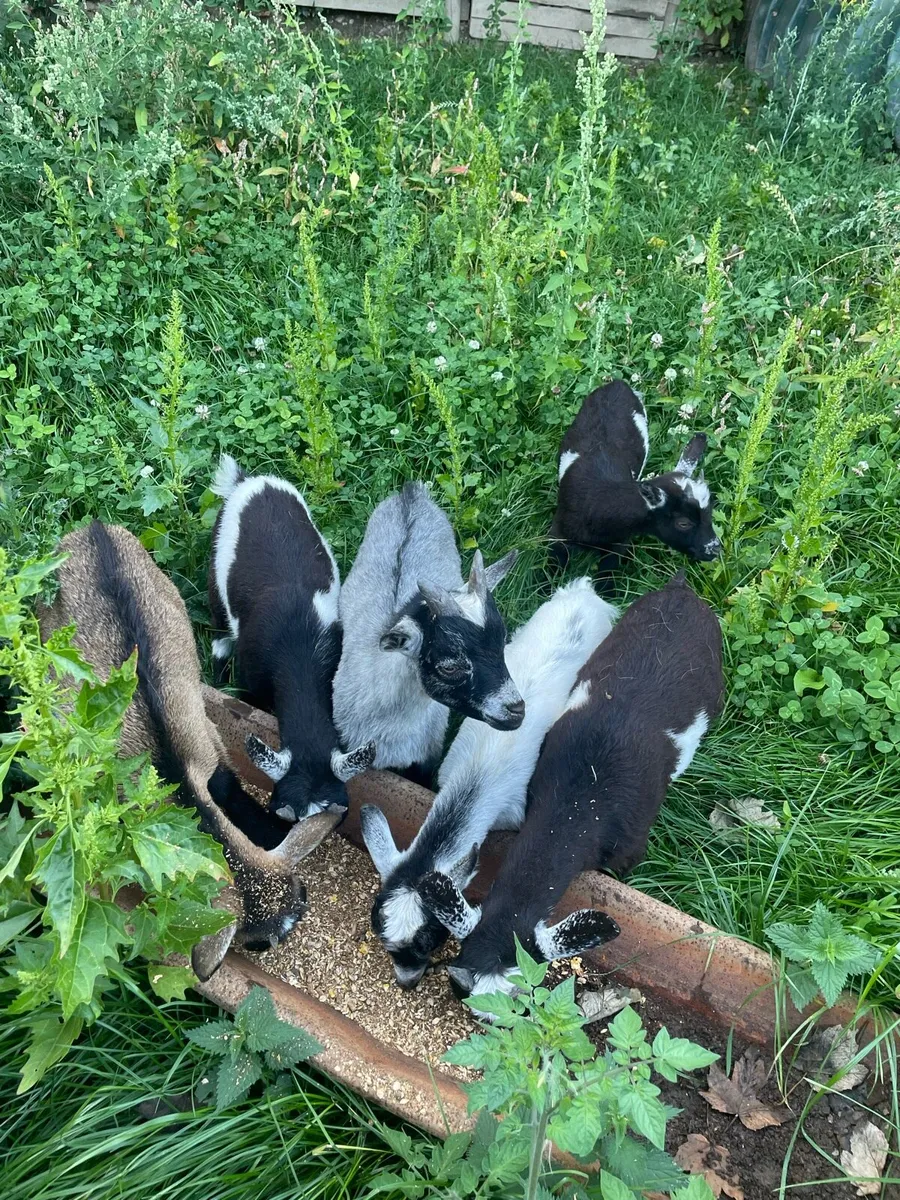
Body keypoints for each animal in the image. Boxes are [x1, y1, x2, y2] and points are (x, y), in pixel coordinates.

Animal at [38, 521, 344, 981]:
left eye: (303, 894)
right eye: (257, 943)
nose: (284, 940)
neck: (172, 776)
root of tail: (90, 528)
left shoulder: (210, 745)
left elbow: (231, 790)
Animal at [550, 380, 721, 568]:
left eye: (710, 513)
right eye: (683, 523)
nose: (715, 549)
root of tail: (618, 384)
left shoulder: (617, 546)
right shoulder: (557, 536)